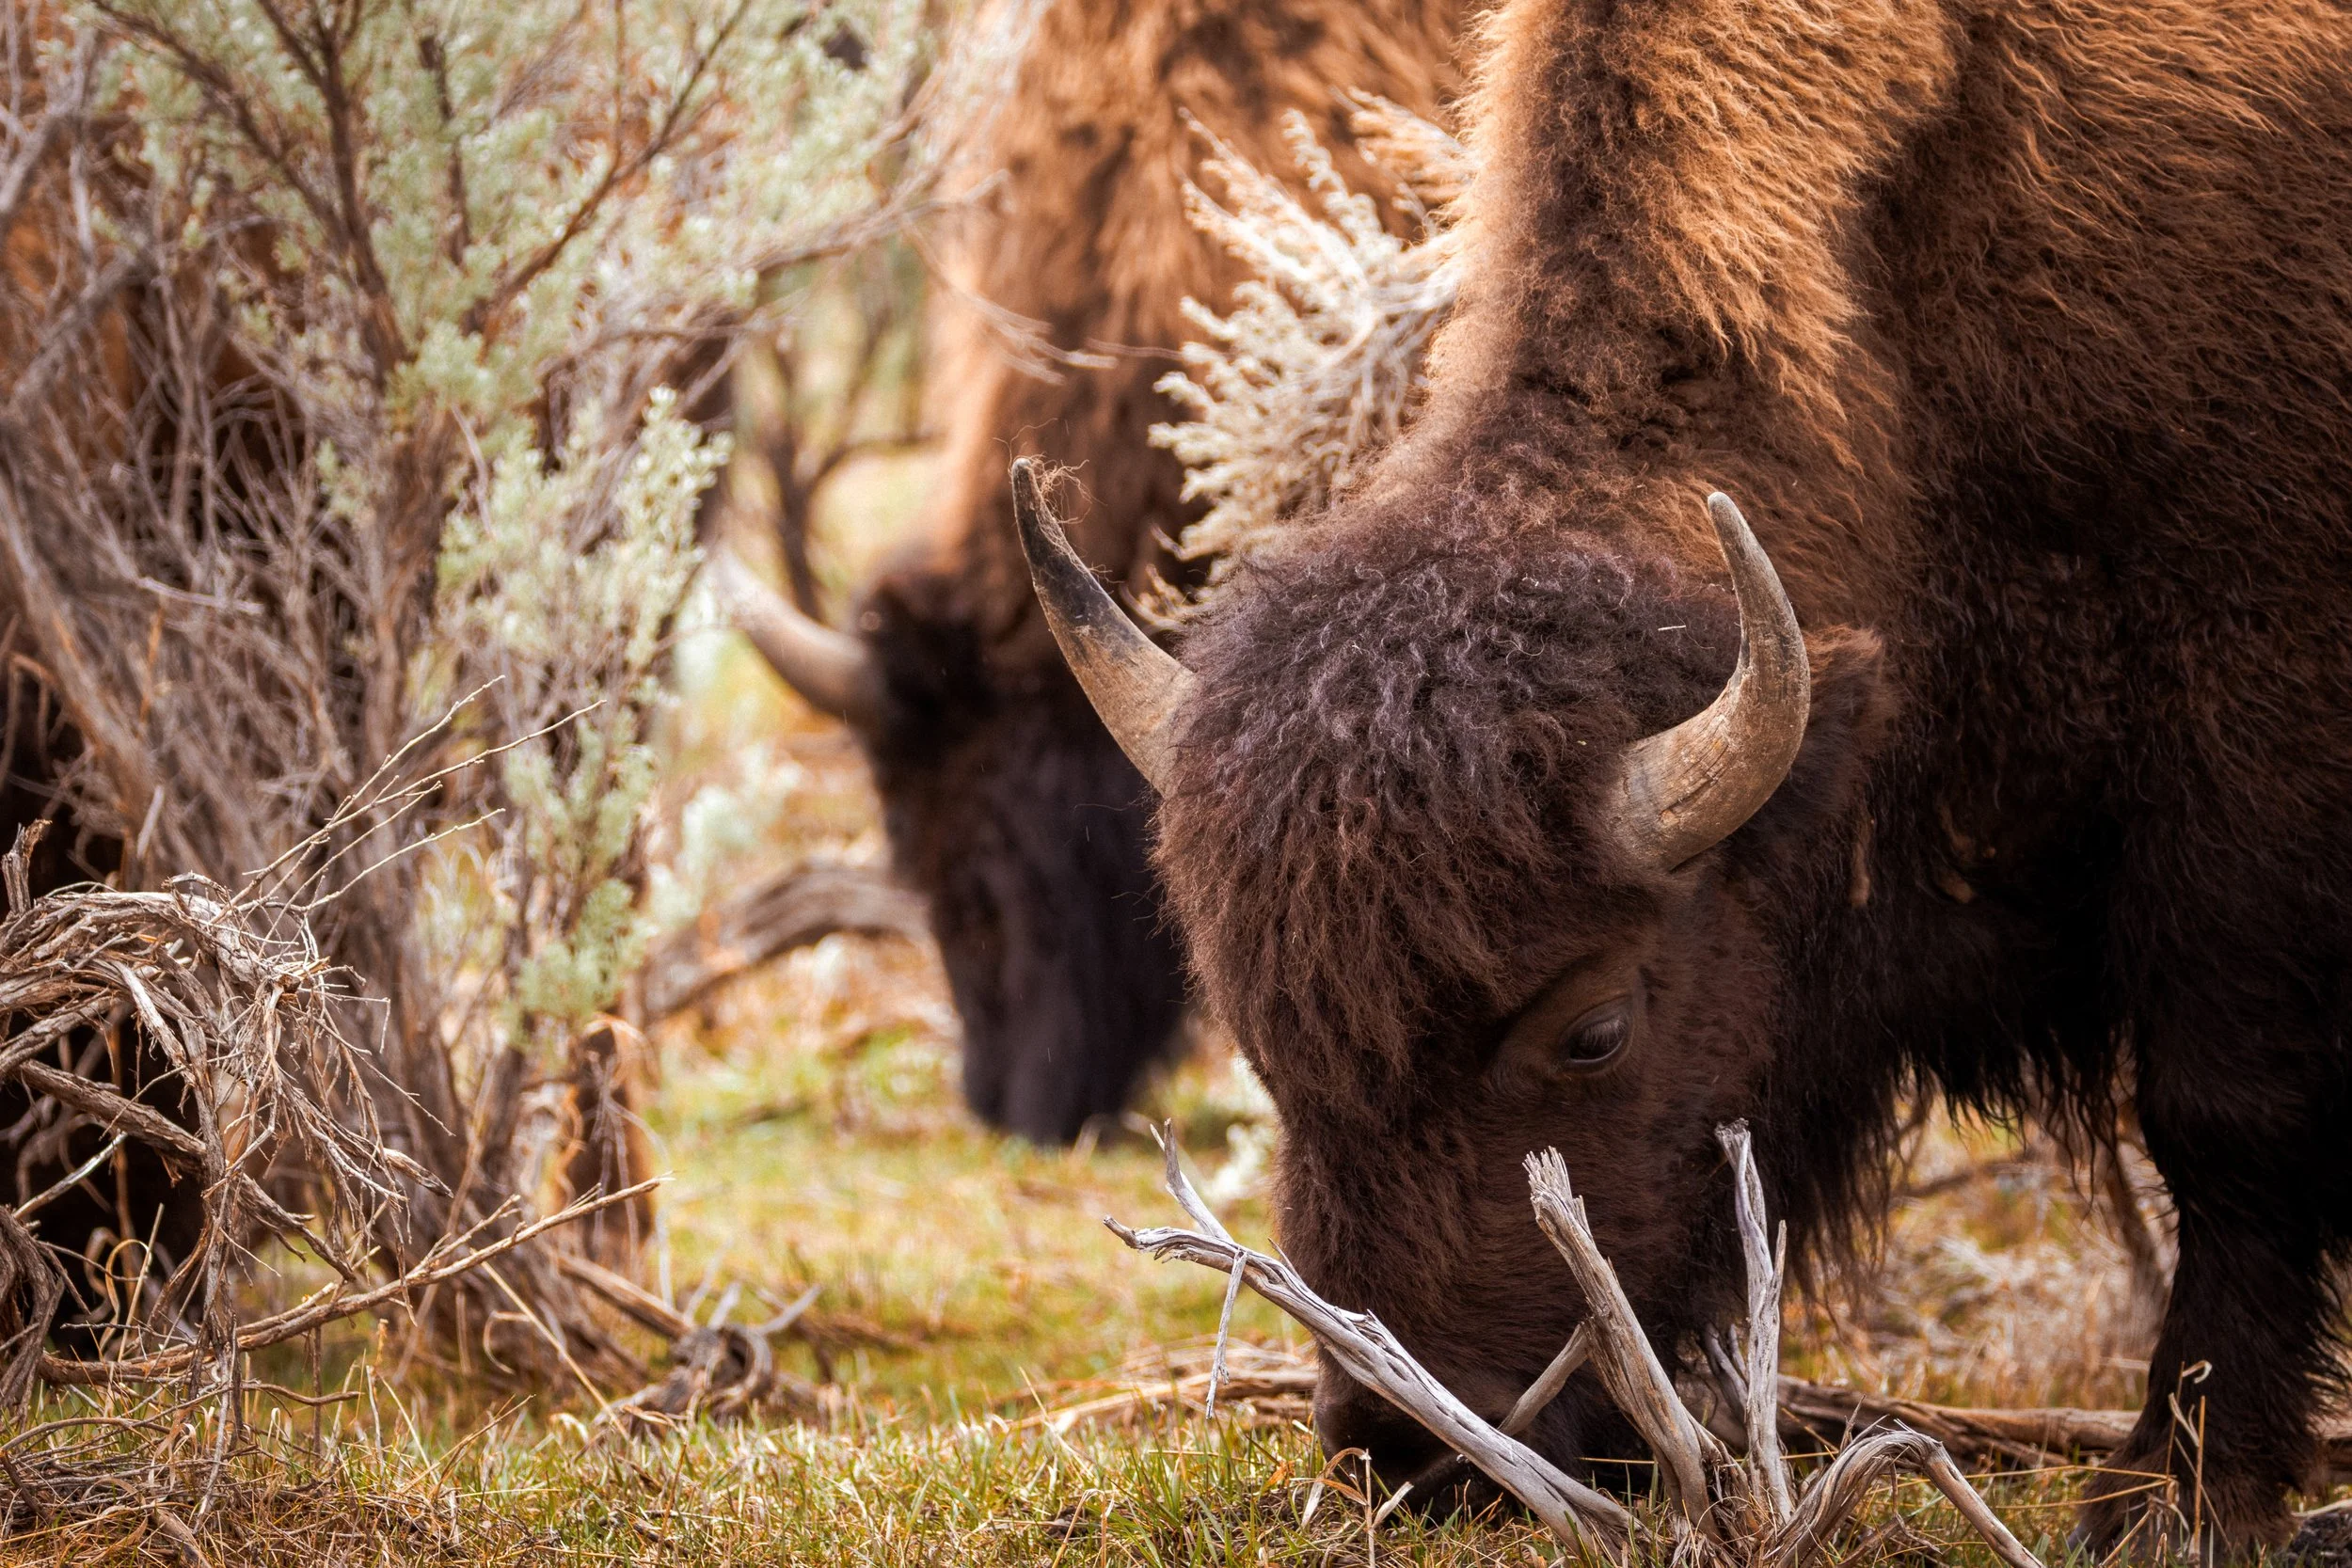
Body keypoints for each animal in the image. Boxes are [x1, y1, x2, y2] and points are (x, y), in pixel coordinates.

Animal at [1022, 0, 2352, 1553]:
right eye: (1261, 1030)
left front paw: (2173, 1489)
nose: (1411, 1450)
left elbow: (2221, 1117)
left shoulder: (2248, 755)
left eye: (1596, 1027)